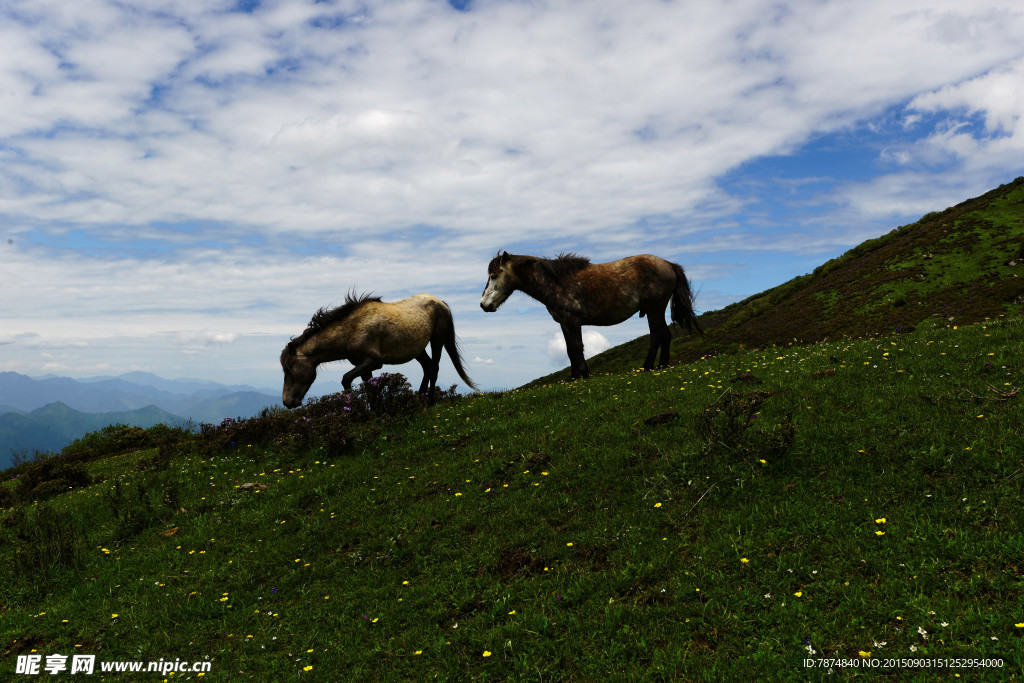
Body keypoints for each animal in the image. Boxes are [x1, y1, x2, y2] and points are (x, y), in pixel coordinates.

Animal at [276, 292, 475, 409]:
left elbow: (346, 379)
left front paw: (354, 409)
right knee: (427, 367)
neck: (353, 328)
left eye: (290, 370)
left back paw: (430, 402)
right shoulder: (363, 365)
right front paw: (374, 415)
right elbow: (370, 391)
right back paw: (421, 398)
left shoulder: (373, 361)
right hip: (418, 350)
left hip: (437, 341)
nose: (286, 402)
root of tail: (441, 303)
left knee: (434, 368)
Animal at [479, 252, 704, 378]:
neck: (555, 282)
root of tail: (669, 264)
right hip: (654, 310)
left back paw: (649, 367)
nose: (483, 305)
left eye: (494, 275)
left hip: (654, 309)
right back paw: (661, 366)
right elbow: (570, 350)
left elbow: (577, 348)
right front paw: (573, 377)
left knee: (658, 335)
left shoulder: (573, 321)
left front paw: (584, 375)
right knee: (664, 335)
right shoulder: (564, 323)